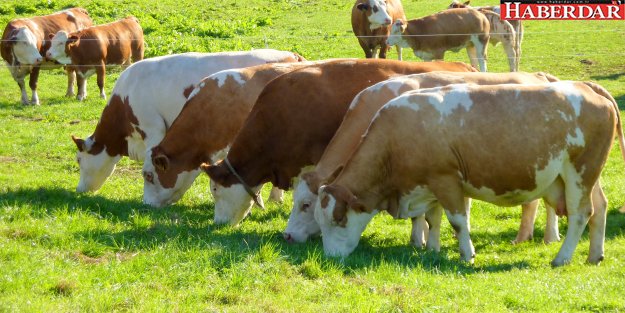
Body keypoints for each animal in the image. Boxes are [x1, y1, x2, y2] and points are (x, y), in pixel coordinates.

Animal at [286, 71, 560, 244]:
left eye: (306, 205)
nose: (286, 236)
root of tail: (537, 76)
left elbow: (421, 214)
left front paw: (419, 240)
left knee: (541, 203)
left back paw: (544, 237)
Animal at [316, 81, 624, 266]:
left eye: (339, 220)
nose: (330, 258)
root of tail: (585, 85)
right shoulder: (429, 185)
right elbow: (433, 219)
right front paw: (432, 249)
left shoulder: (445, 179)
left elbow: (457, 221)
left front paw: (466, 254)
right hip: (587, 175)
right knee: (600, 207)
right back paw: (594, 255)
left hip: (580, 172)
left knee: (581, 213)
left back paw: (562, 258)